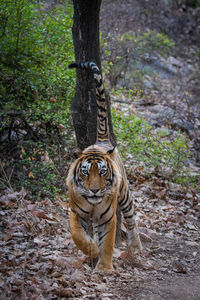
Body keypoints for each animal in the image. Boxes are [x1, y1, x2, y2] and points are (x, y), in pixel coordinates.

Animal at [66, 61, 141, 272]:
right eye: (85, 173)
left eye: (102, 172)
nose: (94, 191)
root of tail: (102, 140)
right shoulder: (76, 213)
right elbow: (78, 236)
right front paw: (91, 249)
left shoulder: (108, 218)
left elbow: (107, 243)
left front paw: (104, 268)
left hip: (125, 196)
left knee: (131, 219)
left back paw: (136, 246)